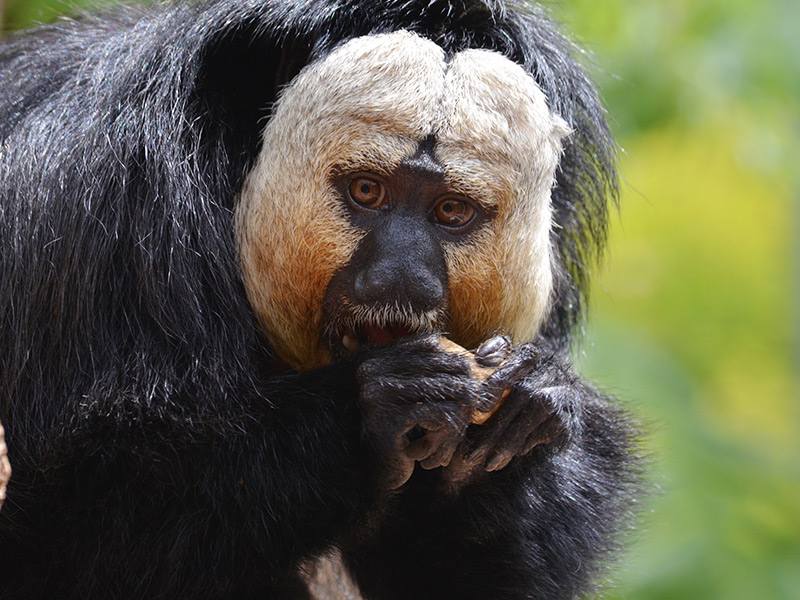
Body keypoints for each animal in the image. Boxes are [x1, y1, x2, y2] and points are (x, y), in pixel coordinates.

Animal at [0, 0, 640, 596]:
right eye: (367, 191)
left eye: (451, 211)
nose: (400, 278)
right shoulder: (101, 217)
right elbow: (70, 523)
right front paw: (380, 404)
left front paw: (529, 407)